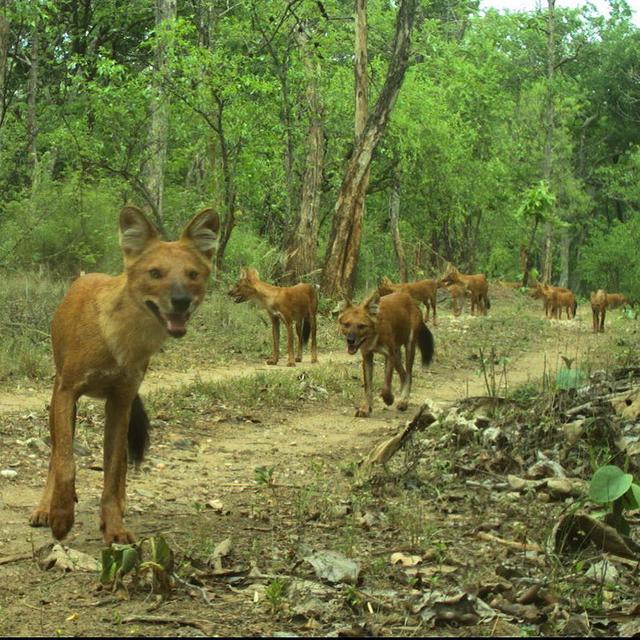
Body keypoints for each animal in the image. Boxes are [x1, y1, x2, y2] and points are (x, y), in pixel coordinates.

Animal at [29, 205, 220, 544]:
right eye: (155, 273)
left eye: (193, 275)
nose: (181, 301)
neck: (123, 340)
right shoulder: (67, 391)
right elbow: (66, 462)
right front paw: (61, 516)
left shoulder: (120, 400)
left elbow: (114, 470)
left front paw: (114, 525)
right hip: (61, 398)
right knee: (55, 455)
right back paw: (44, 508)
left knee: (118, 470)